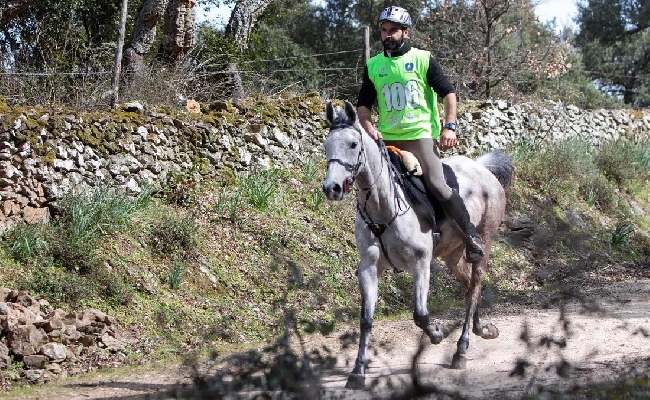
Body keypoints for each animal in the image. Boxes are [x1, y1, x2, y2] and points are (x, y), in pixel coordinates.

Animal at [322, 101, 512, 390]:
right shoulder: (368, 268)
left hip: (484, 243)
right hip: (452, 256)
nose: (331, 188)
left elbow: (420, 314)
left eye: (353, 144)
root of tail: (482, 168)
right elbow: (366, 320)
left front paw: (437, 333)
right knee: (470, 286)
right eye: (326, 146)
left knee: (475, 285)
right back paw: (481, 329)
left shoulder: (421, 264)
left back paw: (462, 349)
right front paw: (358, 371)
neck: (383, 207)